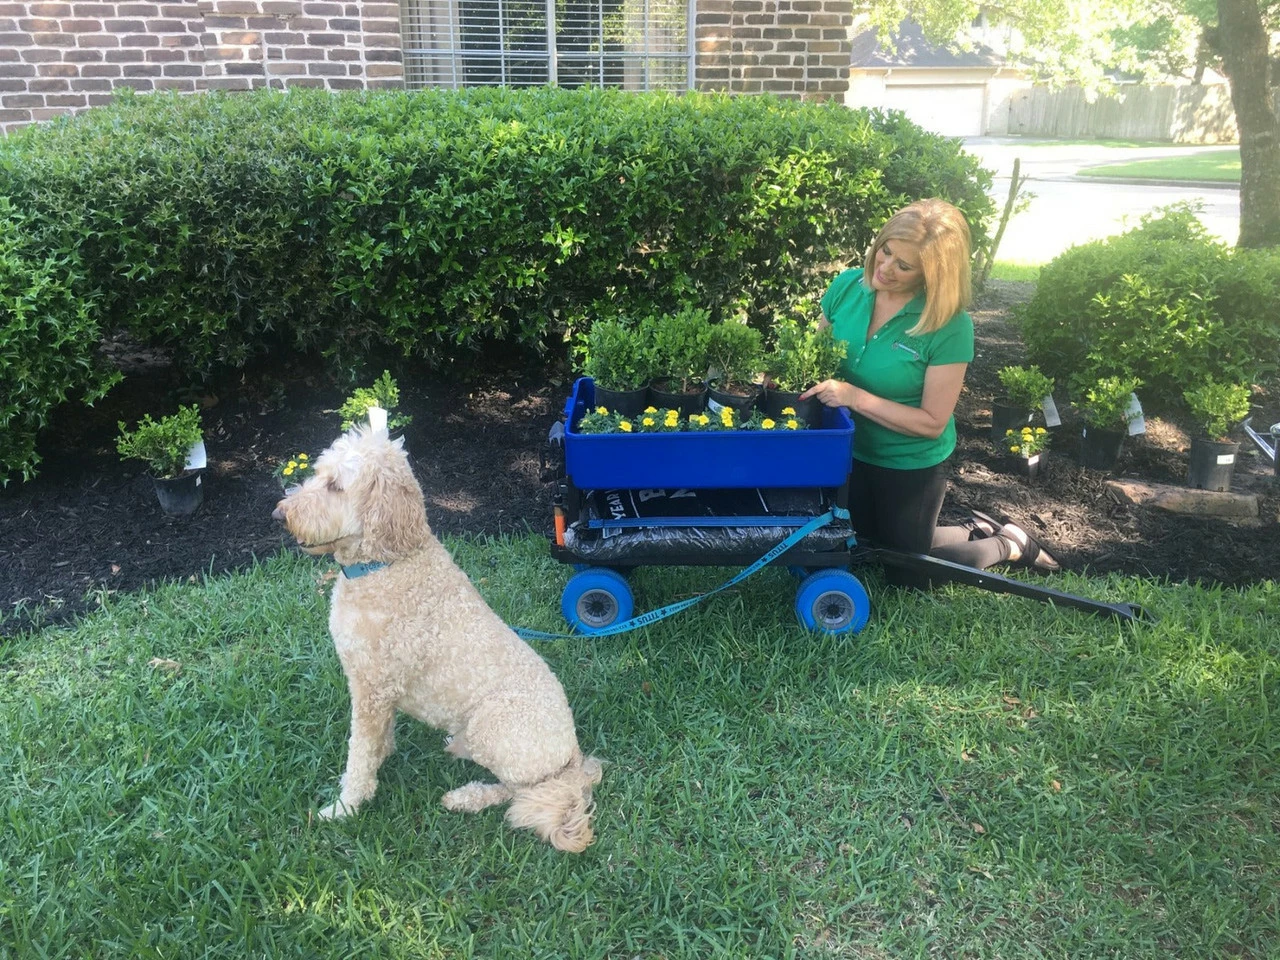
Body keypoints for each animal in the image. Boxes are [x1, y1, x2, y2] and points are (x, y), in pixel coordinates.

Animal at [272, 426, 602, 852]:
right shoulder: (378, 691)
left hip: (492, 724)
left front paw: (347, 806)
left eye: (334, 486)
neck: (385, 564)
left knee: (520, 792)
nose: (279, 514)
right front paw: (382, 756)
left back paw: (467, 797)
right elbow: (377, 740)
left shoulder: (371, 689)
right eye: (316, 474)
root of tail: (574, 754)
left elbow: (358, 754)